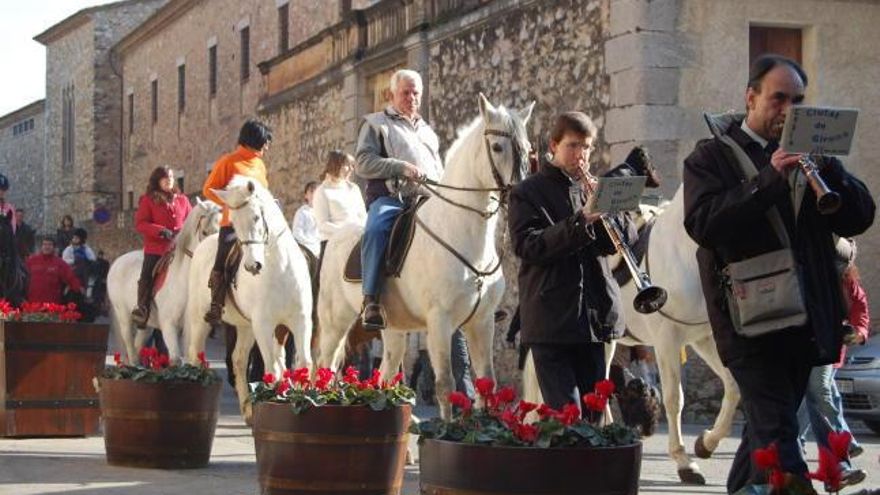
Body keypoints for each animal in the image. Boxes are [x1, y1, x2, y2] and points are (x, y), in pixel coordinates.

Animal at [108, 200, 222, 366]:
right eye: (205, 232)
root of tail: (117, 262)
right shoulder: (169, 325)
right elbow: (175, 360)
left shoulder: (198, 326)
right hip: (124, 316)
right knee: (130, 345)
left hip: (146, 325)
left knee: (138, 344)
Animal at [184, 176, 314, 420]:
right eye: (233, 222)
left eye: (256, 217)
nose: (253, 266)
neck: (280, 268)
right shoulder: (264, 324)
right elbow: (272, 369)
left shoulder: (299, 321)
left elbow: (303, 364)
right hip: (201, 318)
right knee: (194, 354)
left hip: (246, 326)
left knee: (239, 359)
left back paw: (247, 409)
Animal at [320, 94, 532, 418]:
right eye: (497, 147)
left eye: (529, 149)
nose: (521, 194)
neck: (461, 231)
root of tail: (335, 236)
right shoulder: (439, 321)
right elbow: (446, 385)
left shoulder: (481, 322)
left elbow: (487, 383)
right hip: (335, 322)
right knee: (324, 366)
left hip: (392, 329)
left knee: (385, 373)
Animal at [524, 186, 740, 484]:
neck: (680, 253)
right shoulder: (667, 341)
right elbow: (674, 398)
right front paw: (684, 462)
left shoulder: (702, 339)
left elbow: (733, 387)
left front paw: (706, 443)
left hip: (606, 342)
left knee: (599, 385)